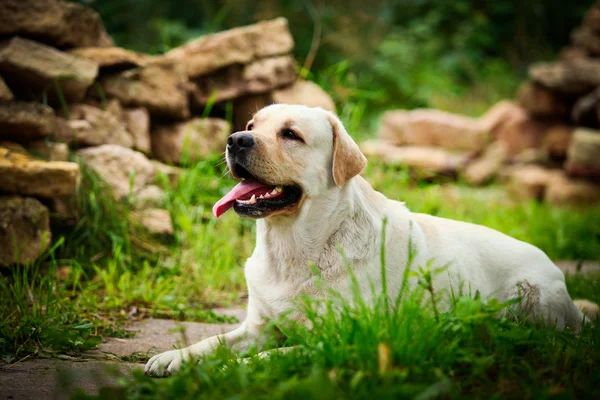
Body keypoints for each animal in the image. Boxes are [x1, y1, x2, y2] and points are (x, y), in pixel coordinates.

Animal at [144, 104, 596, 376]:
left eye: (291, 135)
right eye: (253, 127)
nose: (236, 139)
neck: (294, 249)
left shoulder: (336, 341)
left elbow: (269, 357)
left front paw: (229, 371)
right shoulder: (257, 326)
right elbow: (215, 341)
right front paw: (172, 357)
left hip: (533, 300)